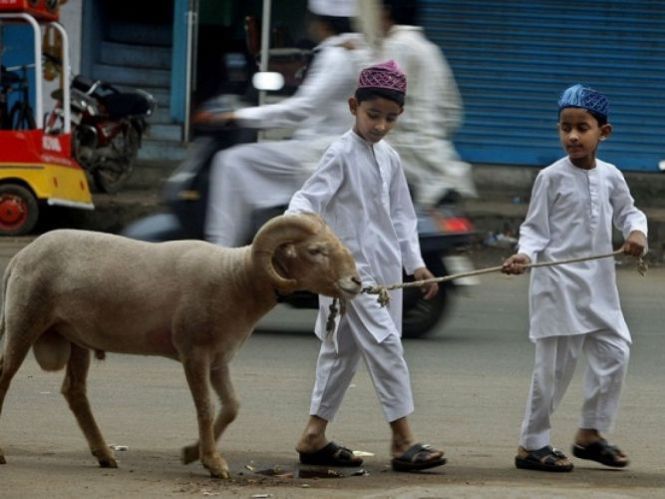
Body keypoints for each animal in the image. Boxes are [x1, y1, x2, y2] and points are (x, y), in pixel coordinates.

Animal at [0, 213, 358, 478]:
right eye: (315, 250)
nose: (356, 281)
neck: (236, 278)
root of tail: (20, 256)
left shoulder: (219, 358)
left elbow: (232, 406)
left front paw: (191, 452)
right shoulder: (194, 353)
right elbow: (206, 407)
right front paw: (213, 463)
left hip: (76, 339)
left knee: (74, 392)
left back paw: (104, 455)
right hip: (24, 320)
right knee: (5, 377)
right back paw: (3, 453)